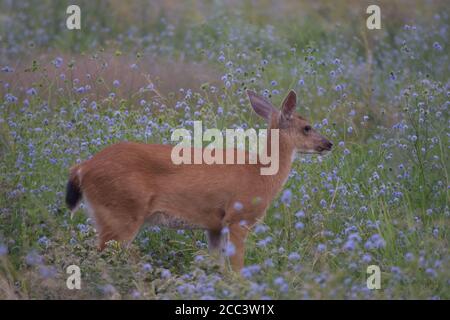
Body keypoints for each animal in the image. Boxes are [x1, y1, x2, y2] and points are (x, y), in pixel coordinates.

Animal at [65, 90, 332, 272]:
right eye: (307, 127)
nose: (328, 144)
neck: (261, 173)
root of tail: (82, 168)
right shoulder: (238, 217)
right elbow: (237, 269)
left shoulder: (215, 225)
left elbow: (217, 266)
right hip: (121, 212)